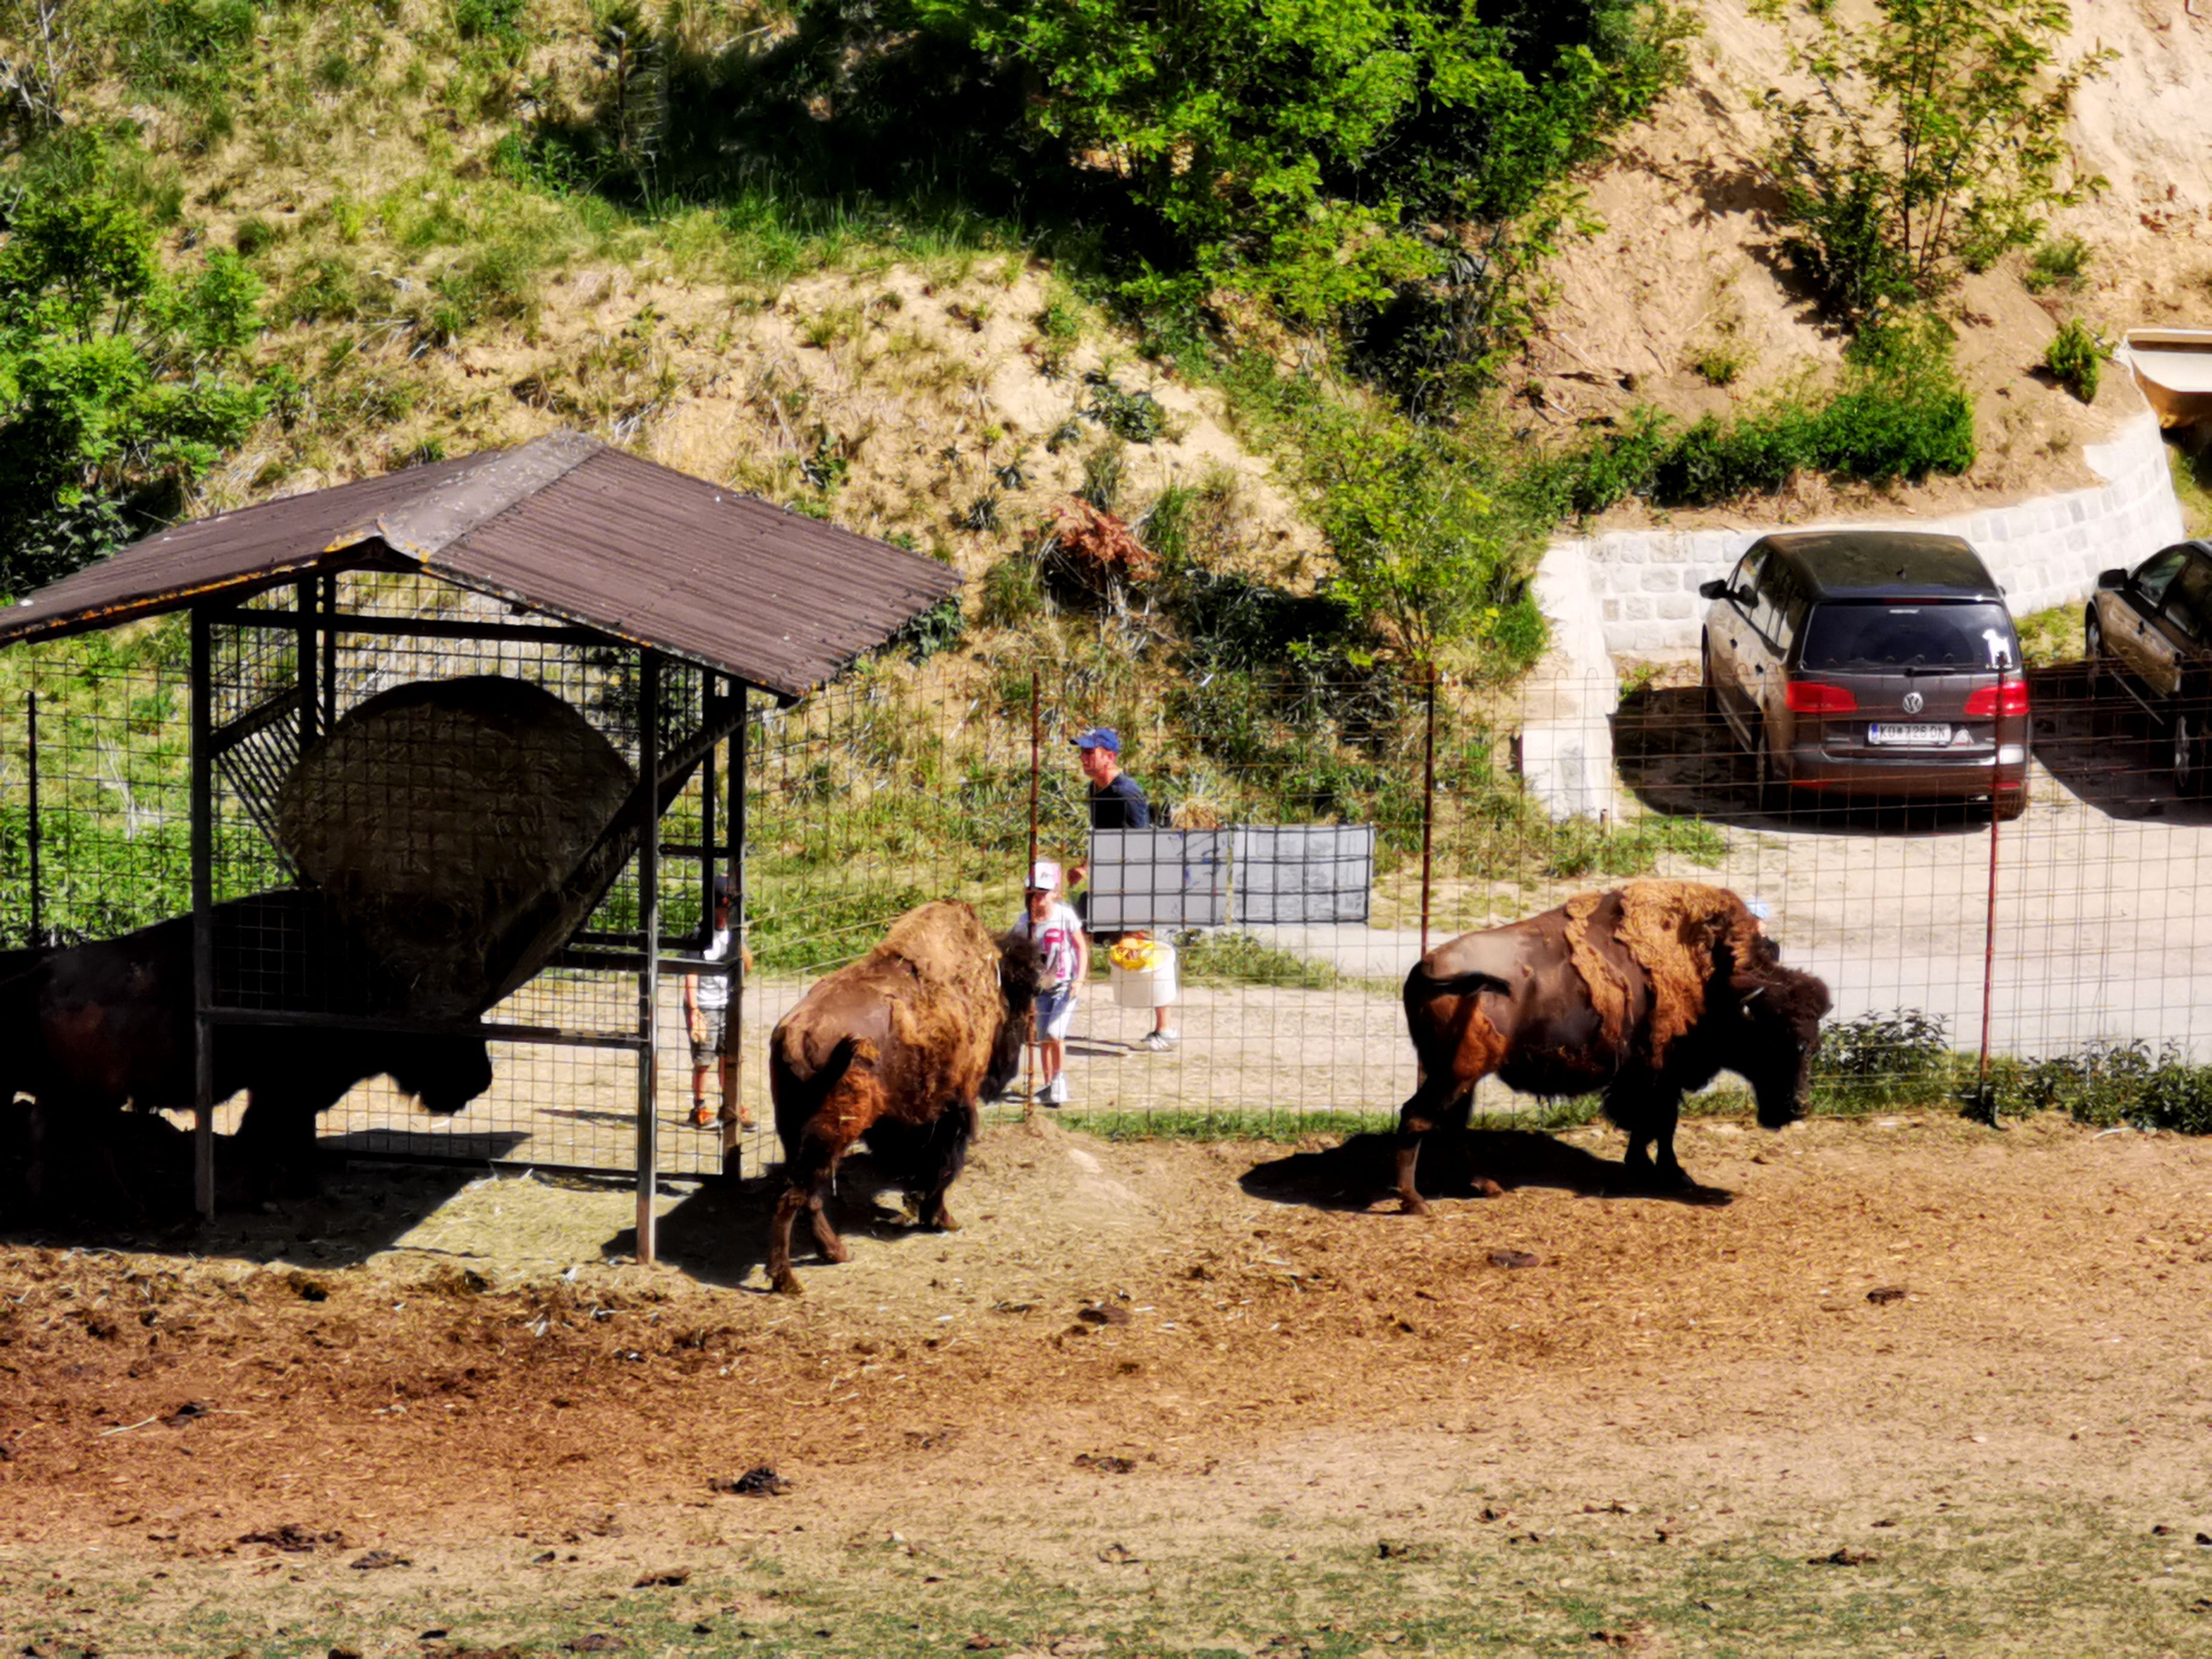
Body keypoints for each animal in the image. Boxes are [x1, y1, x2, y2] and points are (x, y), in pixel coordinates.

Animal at [767, 899, 1045, 1295]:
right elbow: (945, 1166)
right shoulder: (956, 1109)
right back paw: (787, 1280)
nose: (1009, 1065)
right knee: (793, 1197)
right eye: (1026, 992)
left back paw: (836, 1253)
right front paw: (941, 1218)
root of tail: (795, 1034)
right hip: (831, 1133)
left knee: (810, 1196)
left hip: (793, 1130)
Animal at [1394, 880, 1831, 1212]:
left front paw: (1655, 1168)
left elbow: (1656, 1126)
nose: (1797, 1107)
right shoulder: (1659, 1075)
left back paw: (1482, 1185)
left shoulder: (1655, 1078)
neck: (1716, 982)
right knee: (1417, 1117)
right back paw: (1415, 1201)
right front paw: (1666, 1173)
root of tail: (1427, 966)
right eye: (1772, 1039)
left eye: (1813, 1041)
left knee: (1450, 1124)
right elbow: (1659, 1123)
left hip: (1459, 1075)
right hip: (1456, 1072)